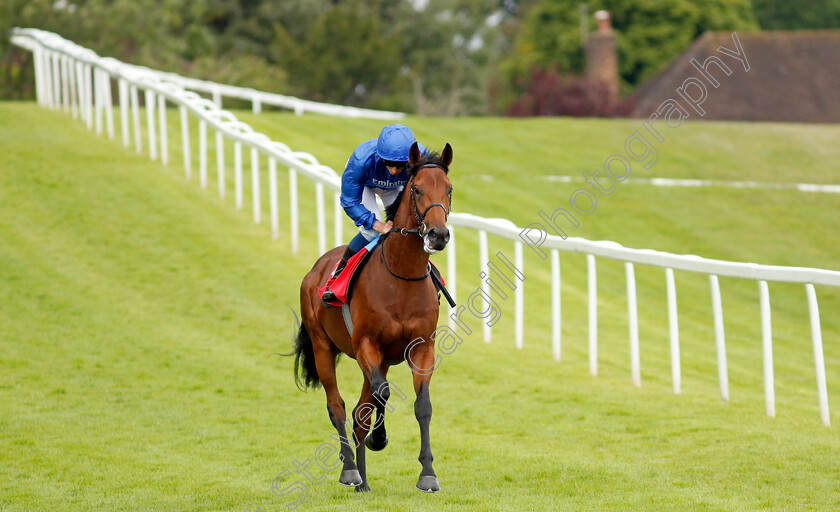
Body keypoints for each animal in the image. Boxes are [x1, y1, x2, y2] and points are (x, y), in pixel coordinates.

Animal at [294, 142, 456, 494]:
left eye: (449, 189)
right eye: (417, 189)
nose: (438, 235)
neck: (401, 278)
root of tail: (315, 269)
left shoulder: (422, 348)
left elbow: (422, 406)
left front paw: (428, 474)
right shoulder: (366, 344)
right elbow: (382, 393)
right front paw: (379, 439)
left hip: (379, 360)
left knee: (359, 413)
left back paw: (364, 483)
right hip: (322, 346)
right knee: (338, 407)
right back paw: (351, 472)